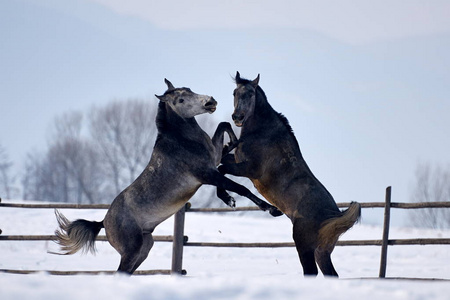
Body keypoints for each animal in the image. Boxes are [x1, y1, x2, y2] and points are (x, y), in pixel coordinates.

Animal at [52, 79, 282, 274]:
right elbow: (240, 187)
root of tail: (102, 222)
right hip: (132, 249)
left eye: (190, 89)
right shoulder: (206, 174)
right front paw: (269, 209)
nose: (210, 101)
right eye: (180, 100)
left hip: (144, 248)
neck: (182, 141)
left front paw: (231, 145)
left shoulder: (213, 161)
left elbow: (223, 125)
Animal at [218, 72, 362, 276]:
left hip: (303, 245)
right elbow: (222, 161)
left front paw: (229, 199)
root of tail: (334, 216)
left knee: (310, 272)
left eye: (251, 93)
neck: (263, 133)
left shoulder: (250, 169)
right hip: (322, 252)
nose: (237, 117)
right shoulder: (237, 161)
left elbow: (221, 171)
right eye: (235, 93)